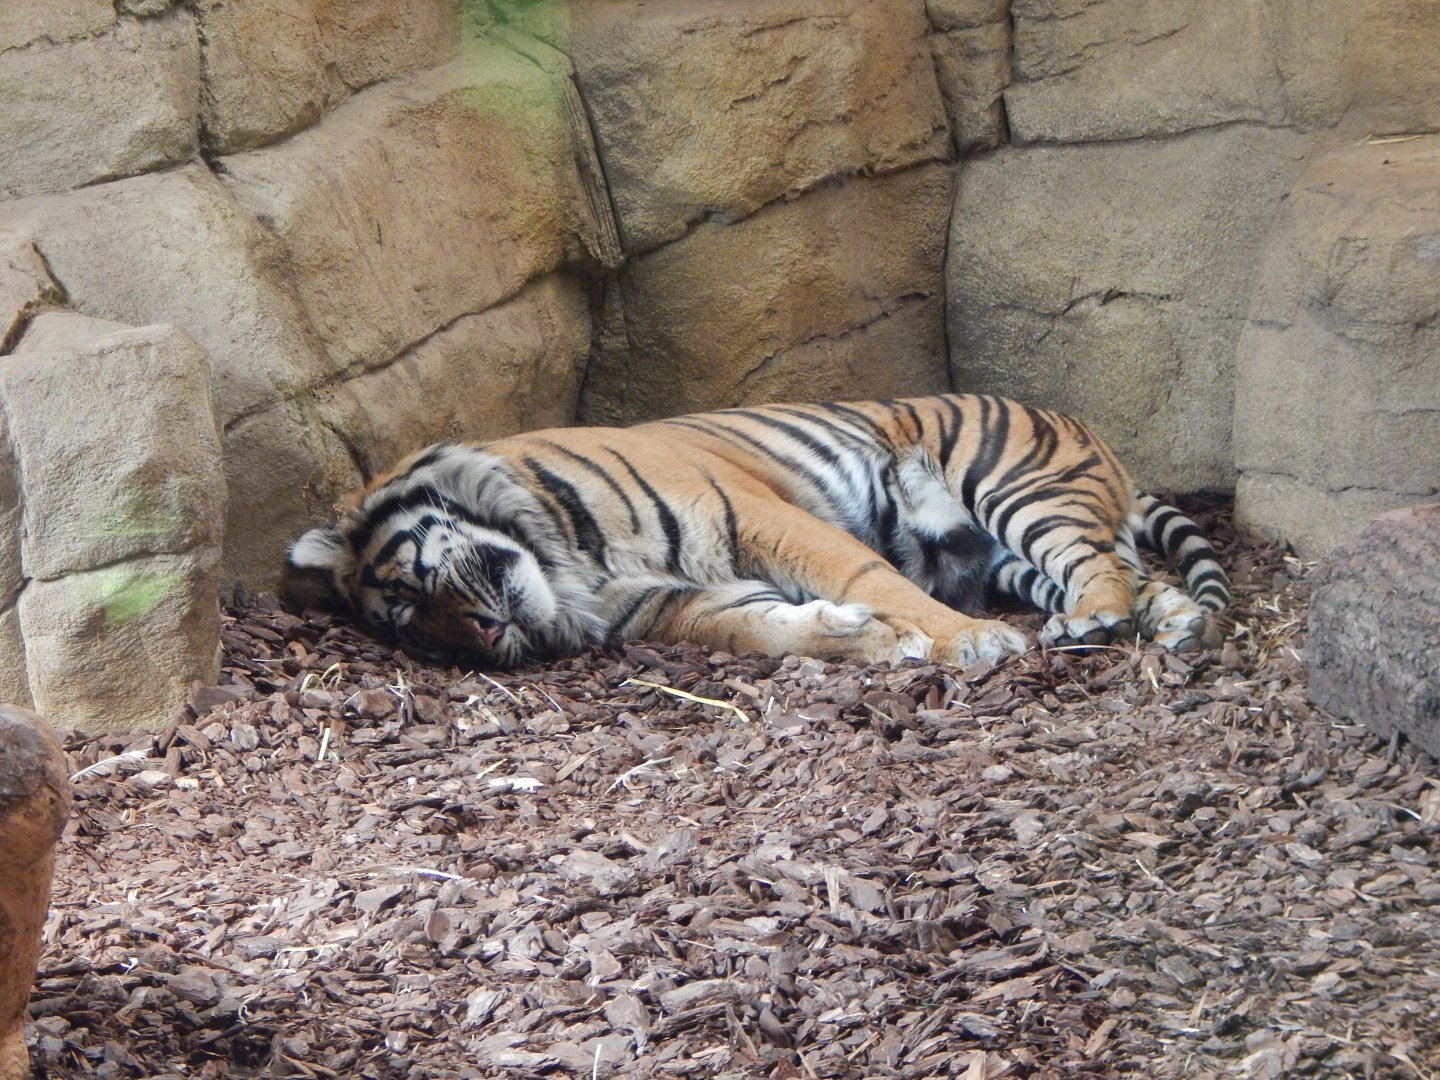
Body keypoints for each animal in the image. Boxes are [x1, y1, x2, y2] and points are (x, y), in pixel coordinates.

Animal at [285, 394, 1230, 670]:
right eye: (416, 632)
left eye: (414, 585)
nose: (481, 637)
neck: (568, 569)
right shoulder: (669, 602)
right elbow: (762, 631)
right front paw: (867, 640)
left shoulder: (752, 513)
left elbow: (867, 575)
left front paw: (967, 643)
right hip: (1014, 556)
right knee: (1132, 572)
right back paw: (1163, 624)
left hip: (1015, 485)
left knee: (1098, 564)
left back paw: (1096, 619)